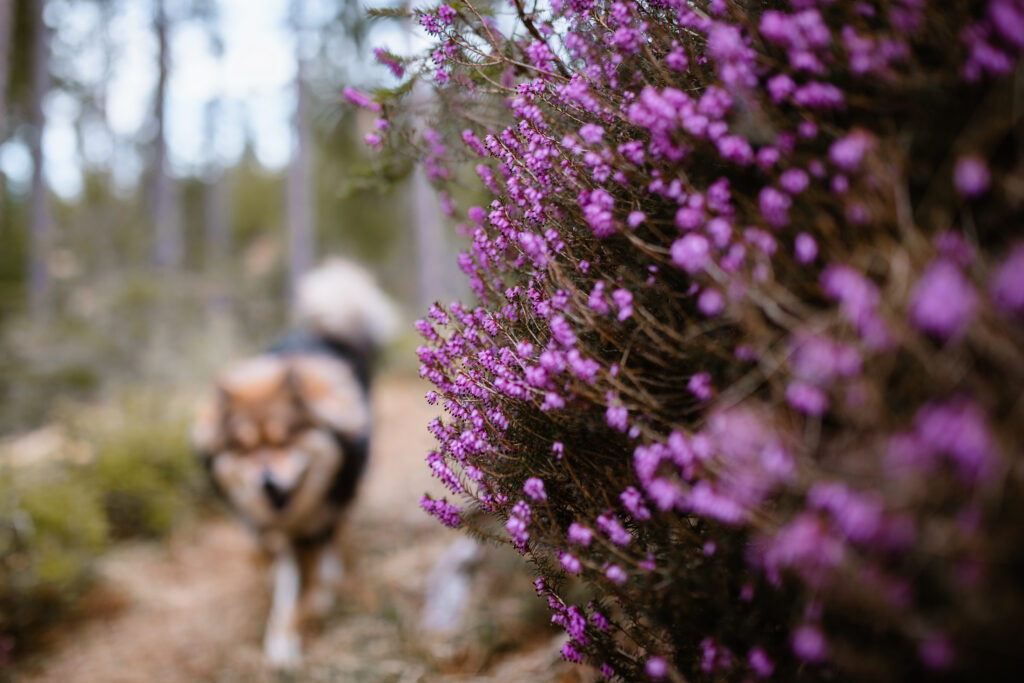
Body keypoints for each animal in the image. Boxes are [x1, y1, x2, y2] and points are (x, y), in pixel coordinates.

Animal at [190, 259, 397, 663]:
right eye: (245, 448)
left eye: (284, 440)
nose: (266, 482)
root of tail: (328, 334)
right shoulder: (275, 531)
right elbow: (281, 581)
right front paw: (282, 638)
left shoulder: (319, 520)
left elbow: (313, 578)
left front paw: (312, 608)